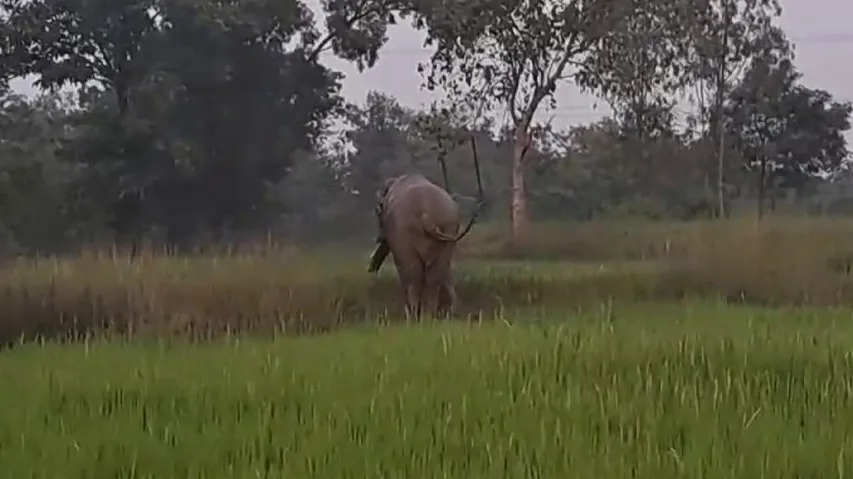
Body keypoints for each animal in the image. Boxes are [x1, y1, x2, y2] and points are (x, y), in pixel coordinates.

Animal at [367, 173, 481, 319]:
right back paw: (430, 315)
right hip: (449, 228)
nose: (371, 268)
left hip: (404, 233)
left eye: (377, 211)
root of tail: (426, 216)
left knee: (413, 275)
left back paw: (414, 316)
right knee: (435, 273)